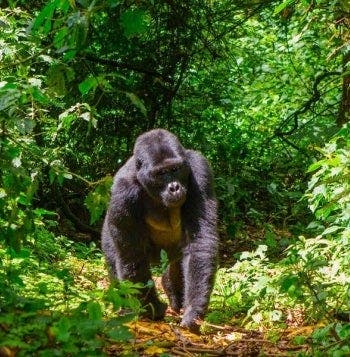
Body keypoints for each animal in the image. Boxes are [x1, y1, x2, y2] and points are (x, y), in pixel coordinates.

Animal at [100, 128, 217, 328]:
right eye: (161, 173)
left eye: (175, 169)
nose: (174, 187)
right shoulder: (123, 192)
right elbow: (133, 257)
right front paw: (153, 308)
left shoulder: (200, 169)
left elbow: (200, 242)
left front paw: (193, 309)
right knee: (115, 258)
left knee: (178, 262)